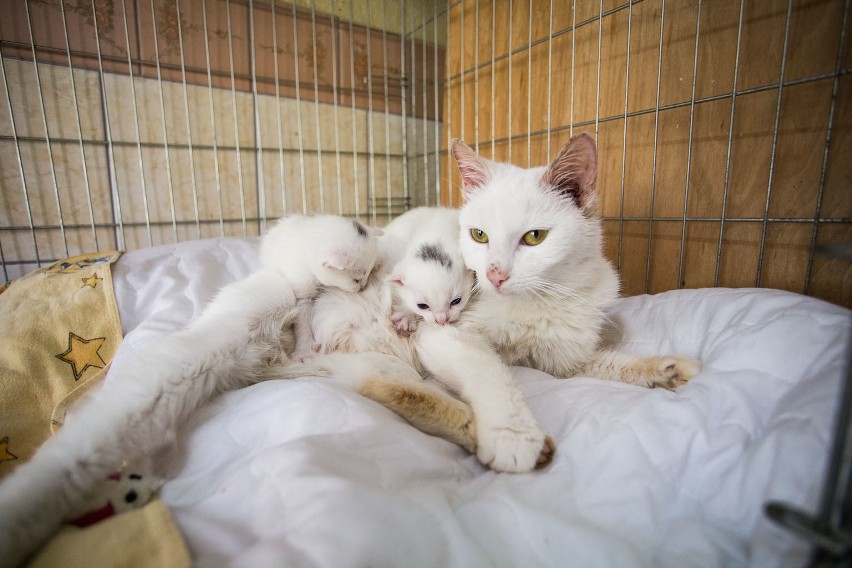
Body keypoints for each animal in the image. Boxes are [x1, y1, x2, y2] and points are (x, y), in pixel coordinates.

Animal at [0, 214, 380, 568]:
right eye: (357, 277)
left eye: (367, 274)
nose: (362, 286)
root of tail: (228, 343)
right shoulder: (300, 288)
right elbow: (304, 318)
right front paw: (308, 343)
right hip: (270, 295)